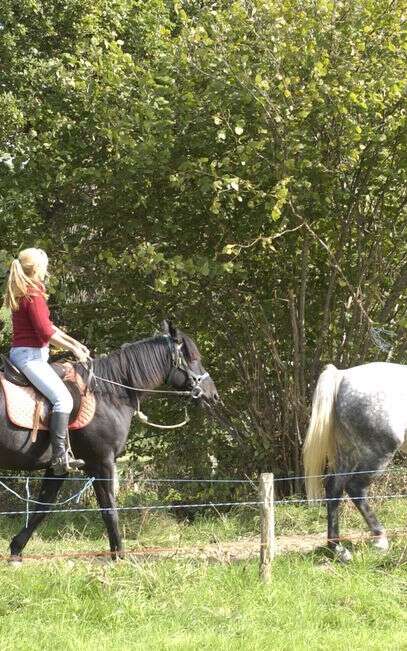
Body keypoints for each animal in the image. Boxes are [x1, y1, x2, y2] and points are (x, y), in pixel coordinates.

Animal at [0, 324, 220, 564]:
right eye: (192, 358)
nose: (213, 395)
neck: (109, 395)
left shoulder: (58, 468)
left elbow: (42, 508)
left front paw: (16, 550)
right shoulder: (102, 462)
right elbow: (109, 509)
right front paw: (119, 555)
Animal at [302, 364, 407, 564]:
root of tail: (342, 375)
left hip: (347, 453)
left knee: (334, 488)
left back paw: (338, 549)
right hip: (377, 453)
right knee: (355, 488)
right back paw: (379, 541)